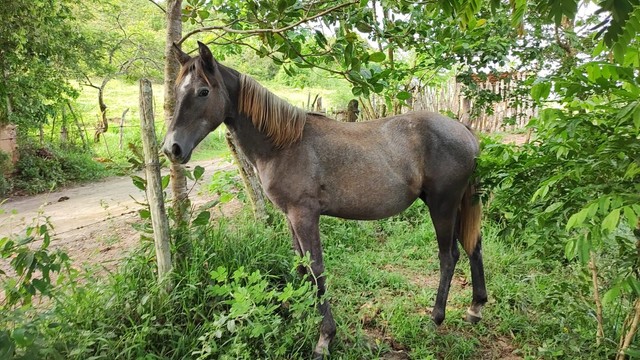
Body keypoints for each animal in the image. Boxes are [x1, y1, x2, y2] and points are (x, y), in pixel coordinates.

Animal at [162, 41, 488, 358]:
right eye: (178, 91)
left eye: (203, 91)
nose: (171, 148)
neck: (282, 144)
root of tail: (463, 129)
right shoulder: (289, 216)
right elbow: (301, 266)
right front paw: (297, 309)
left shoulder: (304, 215)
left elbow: (316, 268)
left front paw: (324, 337)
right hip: (455, 205)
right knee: (473, 246)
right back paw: (475, 308)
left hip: (443, 205)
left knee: (449, 256)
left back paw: (436, 318)